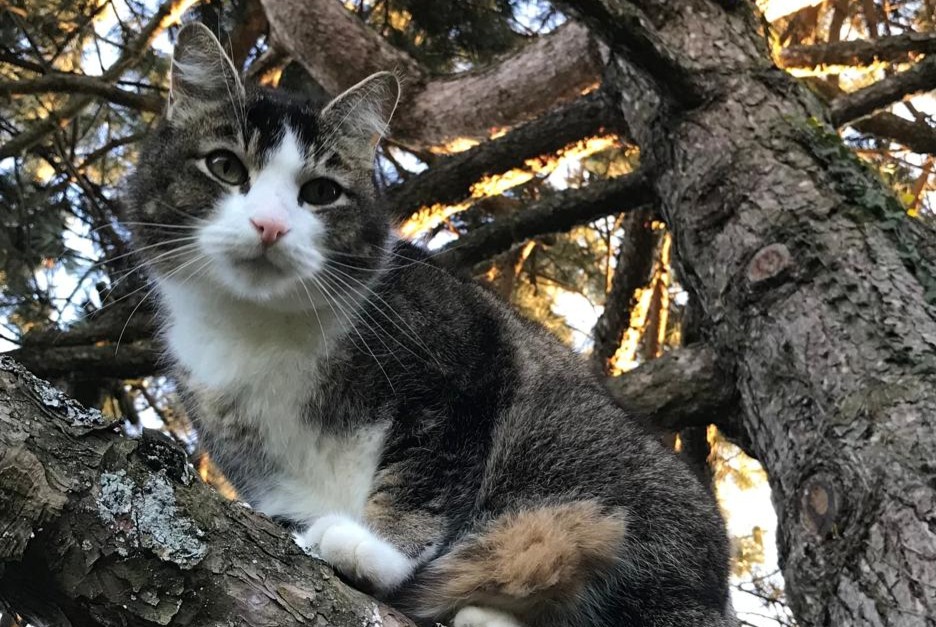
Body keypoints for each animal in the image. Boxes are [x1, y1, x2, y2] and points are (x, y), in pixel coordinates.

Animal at [126, 23, 740, 627]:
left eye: (322, 191)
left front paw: (373, 548)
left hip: (614, 480)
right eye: (225, 166)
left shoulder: (463, 359)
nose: (270, 225)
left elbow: (428, 473)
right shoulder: (252, 458)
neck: (263, 327)